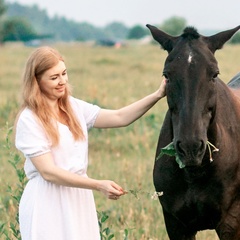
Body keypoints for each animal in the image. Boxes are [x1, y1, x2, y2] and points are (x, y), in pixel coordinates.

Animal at [146, 24, 240, 240]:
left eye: (214, 74)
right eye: (166, 75)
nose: (190, 148)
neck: (195, 172)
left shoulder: (231, 223)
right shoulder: (176, 225)